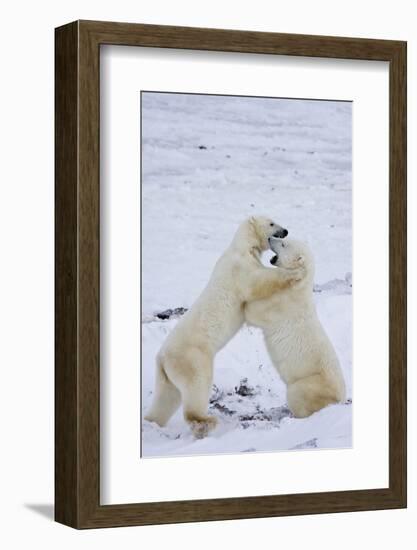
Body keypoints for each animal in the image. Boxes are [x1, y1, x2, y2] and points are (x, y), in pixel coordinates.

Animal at [145, 218, 304, 438]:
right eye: (272, 223)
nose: (286, 230)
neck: (242, 246)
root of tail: (161, 358)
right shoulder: (240, 267)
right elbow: (258, 282)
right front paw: (294, 273)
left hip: (167, 374)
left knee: (167, 398)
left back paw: (151, 421)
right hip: (192, 358)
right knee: (197, 386)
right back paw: (205, 421)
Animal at [244, 237, 344, 418]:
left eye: (283, 244)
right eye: (284, 239)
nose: (270, 238)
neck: (297, 286)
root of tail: (340, 399)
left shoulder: (281, 304)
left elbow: (255, 312)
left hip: (308, 384)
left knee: (296, 395)